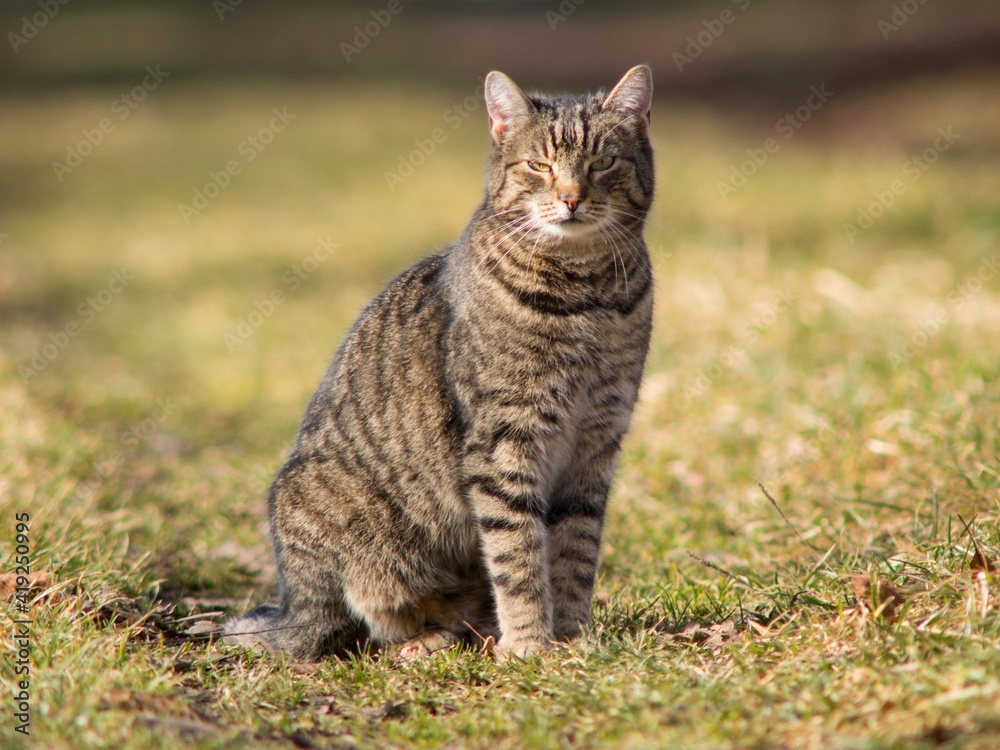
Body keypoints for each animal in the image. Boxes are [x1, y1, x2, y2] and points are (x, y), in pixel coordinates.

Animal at [227, 66, 656, 664]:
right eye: (539, 166)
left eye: (603, 163)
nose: (571, 197)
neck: (585, 293)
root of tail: (295, 606)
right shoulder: (504, 439)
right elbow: (518, 555)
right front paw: (529, 643)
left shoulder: (596, 442)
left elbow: (575, 551)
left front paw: (571, 638)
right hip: (331, 520)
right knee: (369, 625)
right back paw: (426, 641)